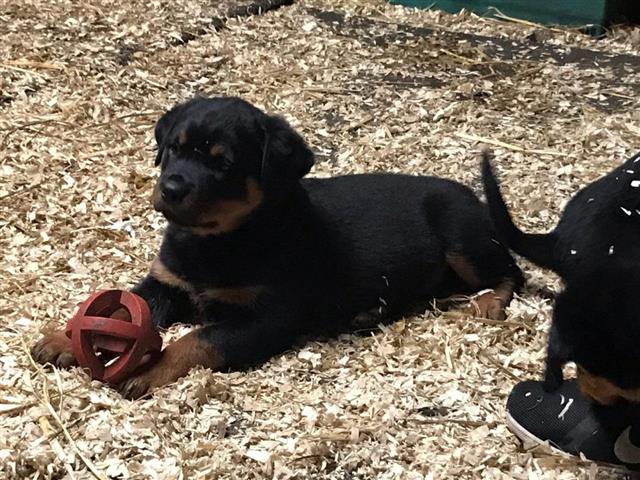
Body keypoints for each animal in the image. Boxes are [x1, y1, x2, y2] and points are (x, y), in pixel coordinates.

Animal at [30, 97, 524, 398]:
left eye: (223, 164)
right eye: (173, 149)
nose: (170, 188)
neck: (215, 241)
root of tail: (476, 200)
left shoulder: (265, 316)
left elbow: (197, 339)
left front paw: (149, 369)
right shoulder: (165, 282)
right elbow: (121, 307)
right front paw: (65, 338)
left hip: (462, 237)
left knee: (511, 272)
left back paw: (487, 303)